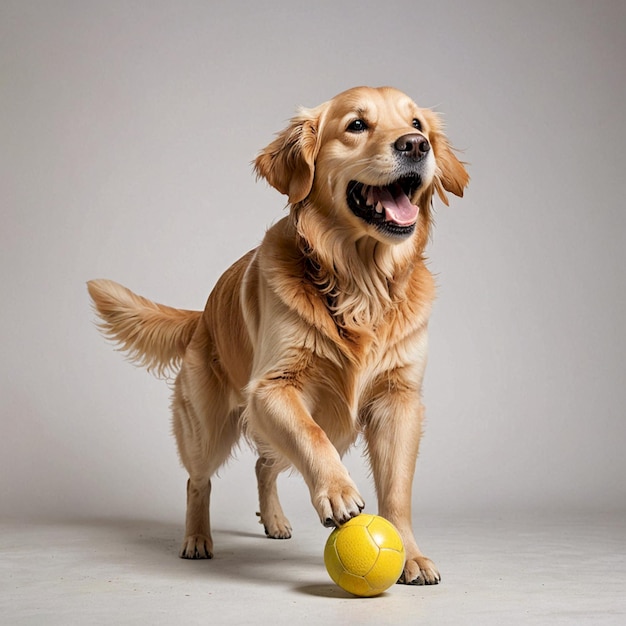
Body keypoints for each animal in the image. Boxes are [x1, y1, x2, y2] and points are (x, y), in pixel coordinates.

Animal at [88, 85, 468, 584]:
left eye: (417, 124)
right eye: (357, 125)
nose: (415, 146)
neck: (359, 284)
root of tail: (201, 315)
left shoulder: (398, 400)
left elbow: (397, 489)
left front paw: (410, 554)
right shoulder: (272, 387)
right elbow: (311, 435)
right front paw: (339, 492)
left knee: (263, 465)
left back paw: (274, 521)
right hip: (207, 427)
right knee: (198, 478)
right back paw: (197, 538)